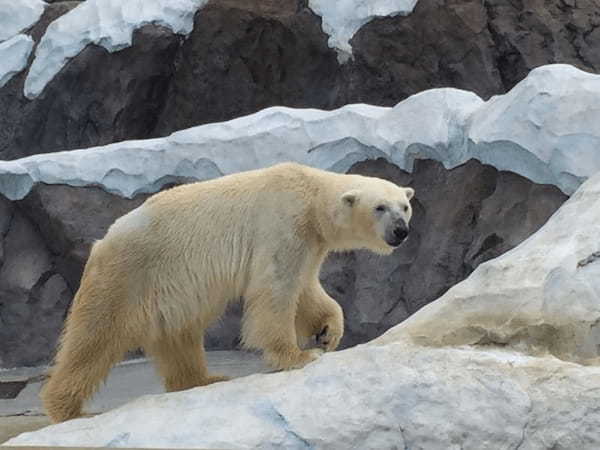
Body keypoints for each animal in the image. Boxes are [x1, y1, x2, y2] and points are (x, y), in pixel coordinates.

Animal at [41, 162, 412, 422]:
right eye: (380, 207)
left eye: (404, 206)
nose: (401, 231)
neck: (310, 192)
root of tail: (102, 241)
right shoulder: (282, 223)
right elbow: (275, 289)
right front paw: (299, 355)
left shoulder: (308, 240)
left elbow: (305, 286)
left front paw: (327, 332)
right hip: (128, 275)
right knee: (94, 338)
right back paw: (67, 408)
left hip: (169, 291)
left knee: (178, 335)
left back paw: (204, 379)